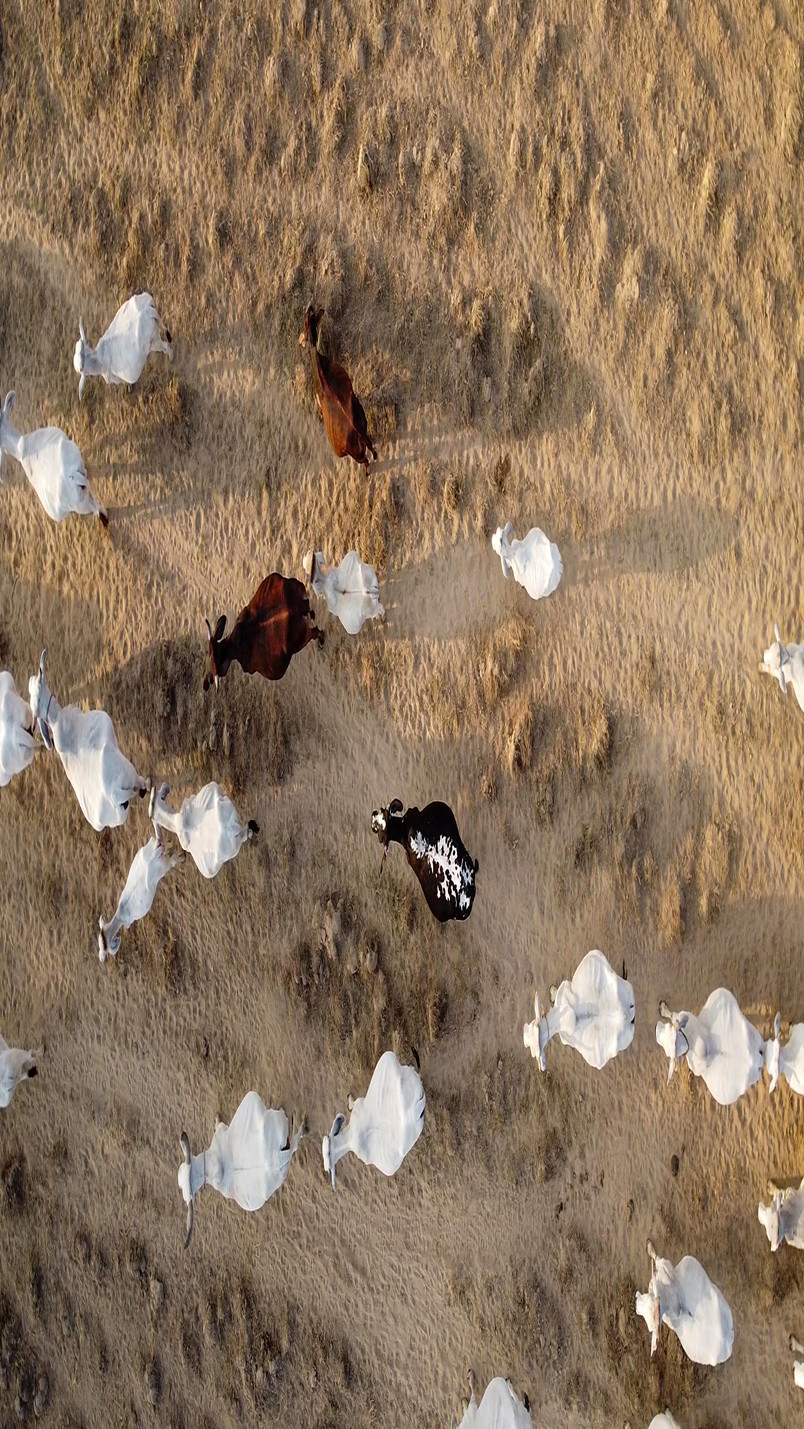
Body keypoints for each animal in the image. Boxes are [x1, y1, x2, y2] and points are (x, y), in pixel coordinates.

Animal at [298, 305, 377, 472]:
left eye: (305, 322)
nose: (310, 308)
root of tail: (357, 433)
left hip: (352, 454)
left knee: (366, 461)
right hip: (364, 431)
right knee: (373, 451)